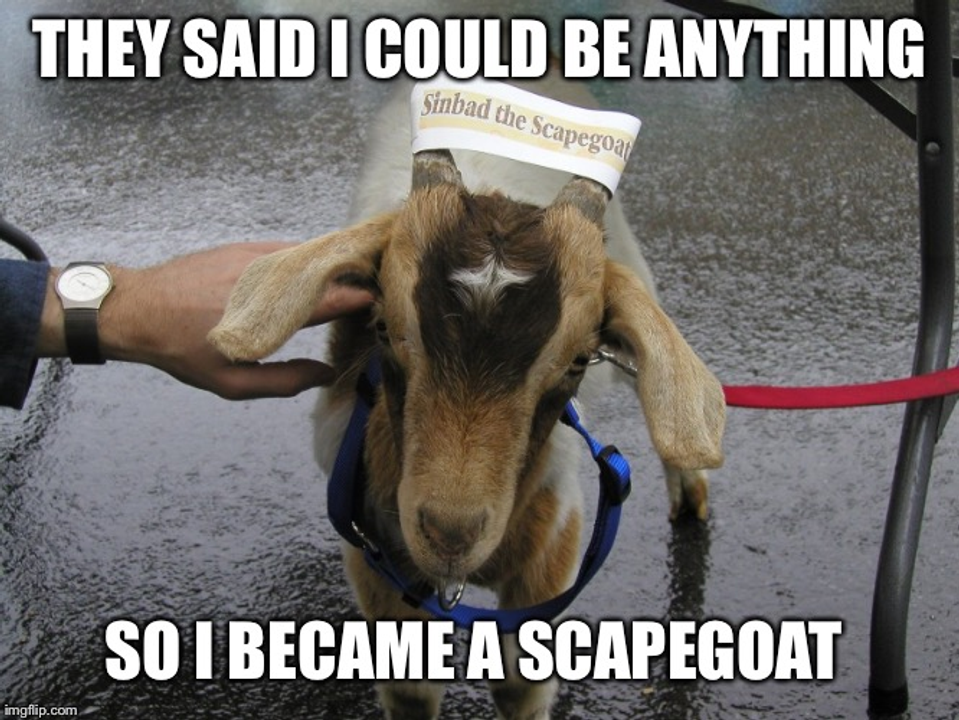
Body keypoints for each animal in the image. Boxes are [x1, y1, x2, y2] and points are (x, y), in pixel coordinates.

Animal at [209, 73, 725, 719]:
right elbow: (410, 685)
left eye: (579, 360)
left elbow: (520, 681)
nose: (450, 534)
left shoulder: (553, 539)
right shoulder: (375, 551)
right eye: (383, 328)